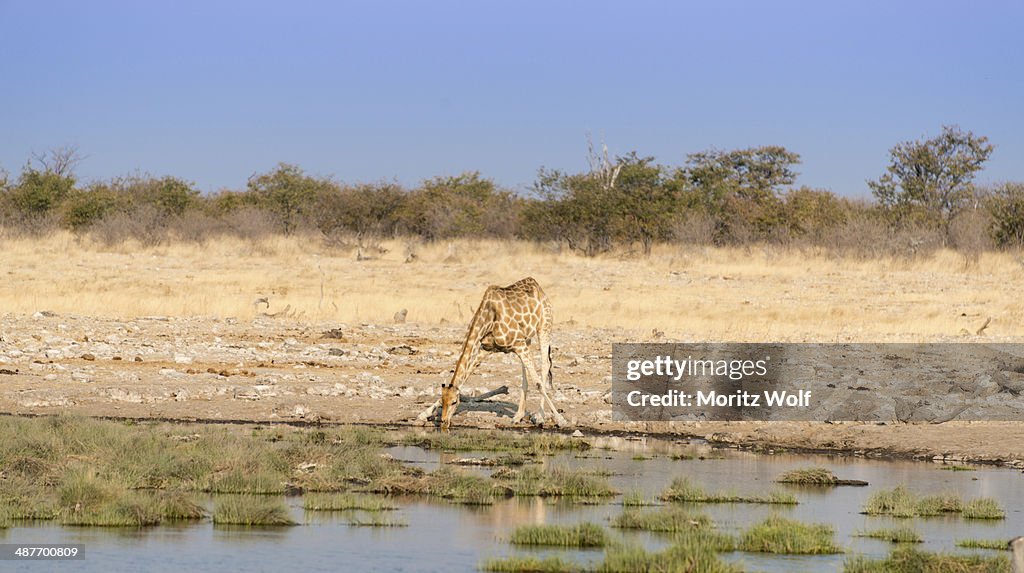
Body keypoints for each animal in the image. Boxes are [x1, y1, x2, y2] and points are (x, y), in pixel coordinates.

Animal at [417, 277, 567, 430]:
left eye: (454, 402)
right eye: (443, 401)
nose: (444, 422)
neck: (488, 318)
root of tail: (538, 287)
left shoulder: (518, 344)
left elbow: (538, 383)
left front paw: (561, 420)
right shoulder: (486, 349)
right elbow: (465, 375)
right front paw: (423, 414)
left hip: (544, 327)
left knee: (544, 365)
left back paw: (540, 416)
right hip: (526, 338)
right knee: (526, 369)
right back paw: (518, 416)